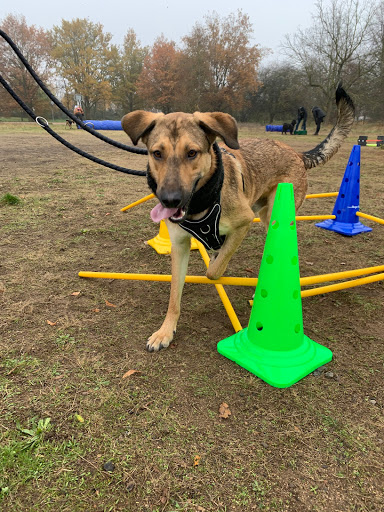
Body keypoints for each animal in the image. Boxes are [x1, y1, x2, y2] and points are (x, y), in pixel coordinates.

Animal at [122, 87, 354, 352]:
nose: (170, 200)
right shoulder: (179, 246)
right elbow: (174, 296)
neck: (202, 202)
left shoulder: (244, 222)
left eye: (192, 153)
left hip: (273, 215)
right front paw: (165, 332)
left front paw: (217, 264)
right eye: (157, 153)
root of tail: (295, 153)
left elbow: (212, 272)